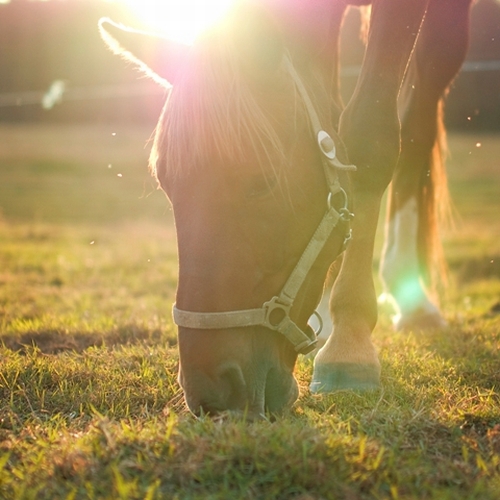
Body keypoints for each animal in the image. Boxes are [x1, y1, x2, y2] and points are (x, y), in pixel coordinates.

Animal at [100, 0, 472, 416]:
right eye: (166, 185)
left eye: (263, 181)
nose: (212, 393)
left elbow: (369, 136)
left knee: (420, 113)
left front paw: (350, 343)